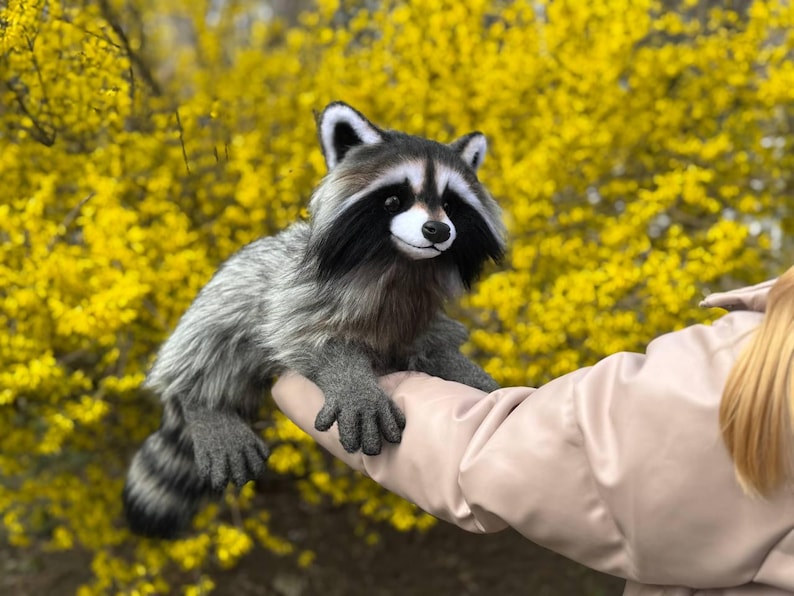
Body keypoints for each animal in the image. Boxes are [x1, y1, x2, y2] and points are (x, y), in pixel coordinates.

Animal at [123, 102, 506, 538]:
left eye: (451, 204)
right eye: (394, 200)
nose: (437, 230)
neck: (401, 262)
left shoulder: (421, 314)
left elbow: (433, 342)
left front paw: (464, 372)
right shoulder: (300, 291)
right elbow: (304, 332)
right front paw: (348, 375)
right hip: (230, 289)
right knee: (214, 336)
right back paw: (203, 402)